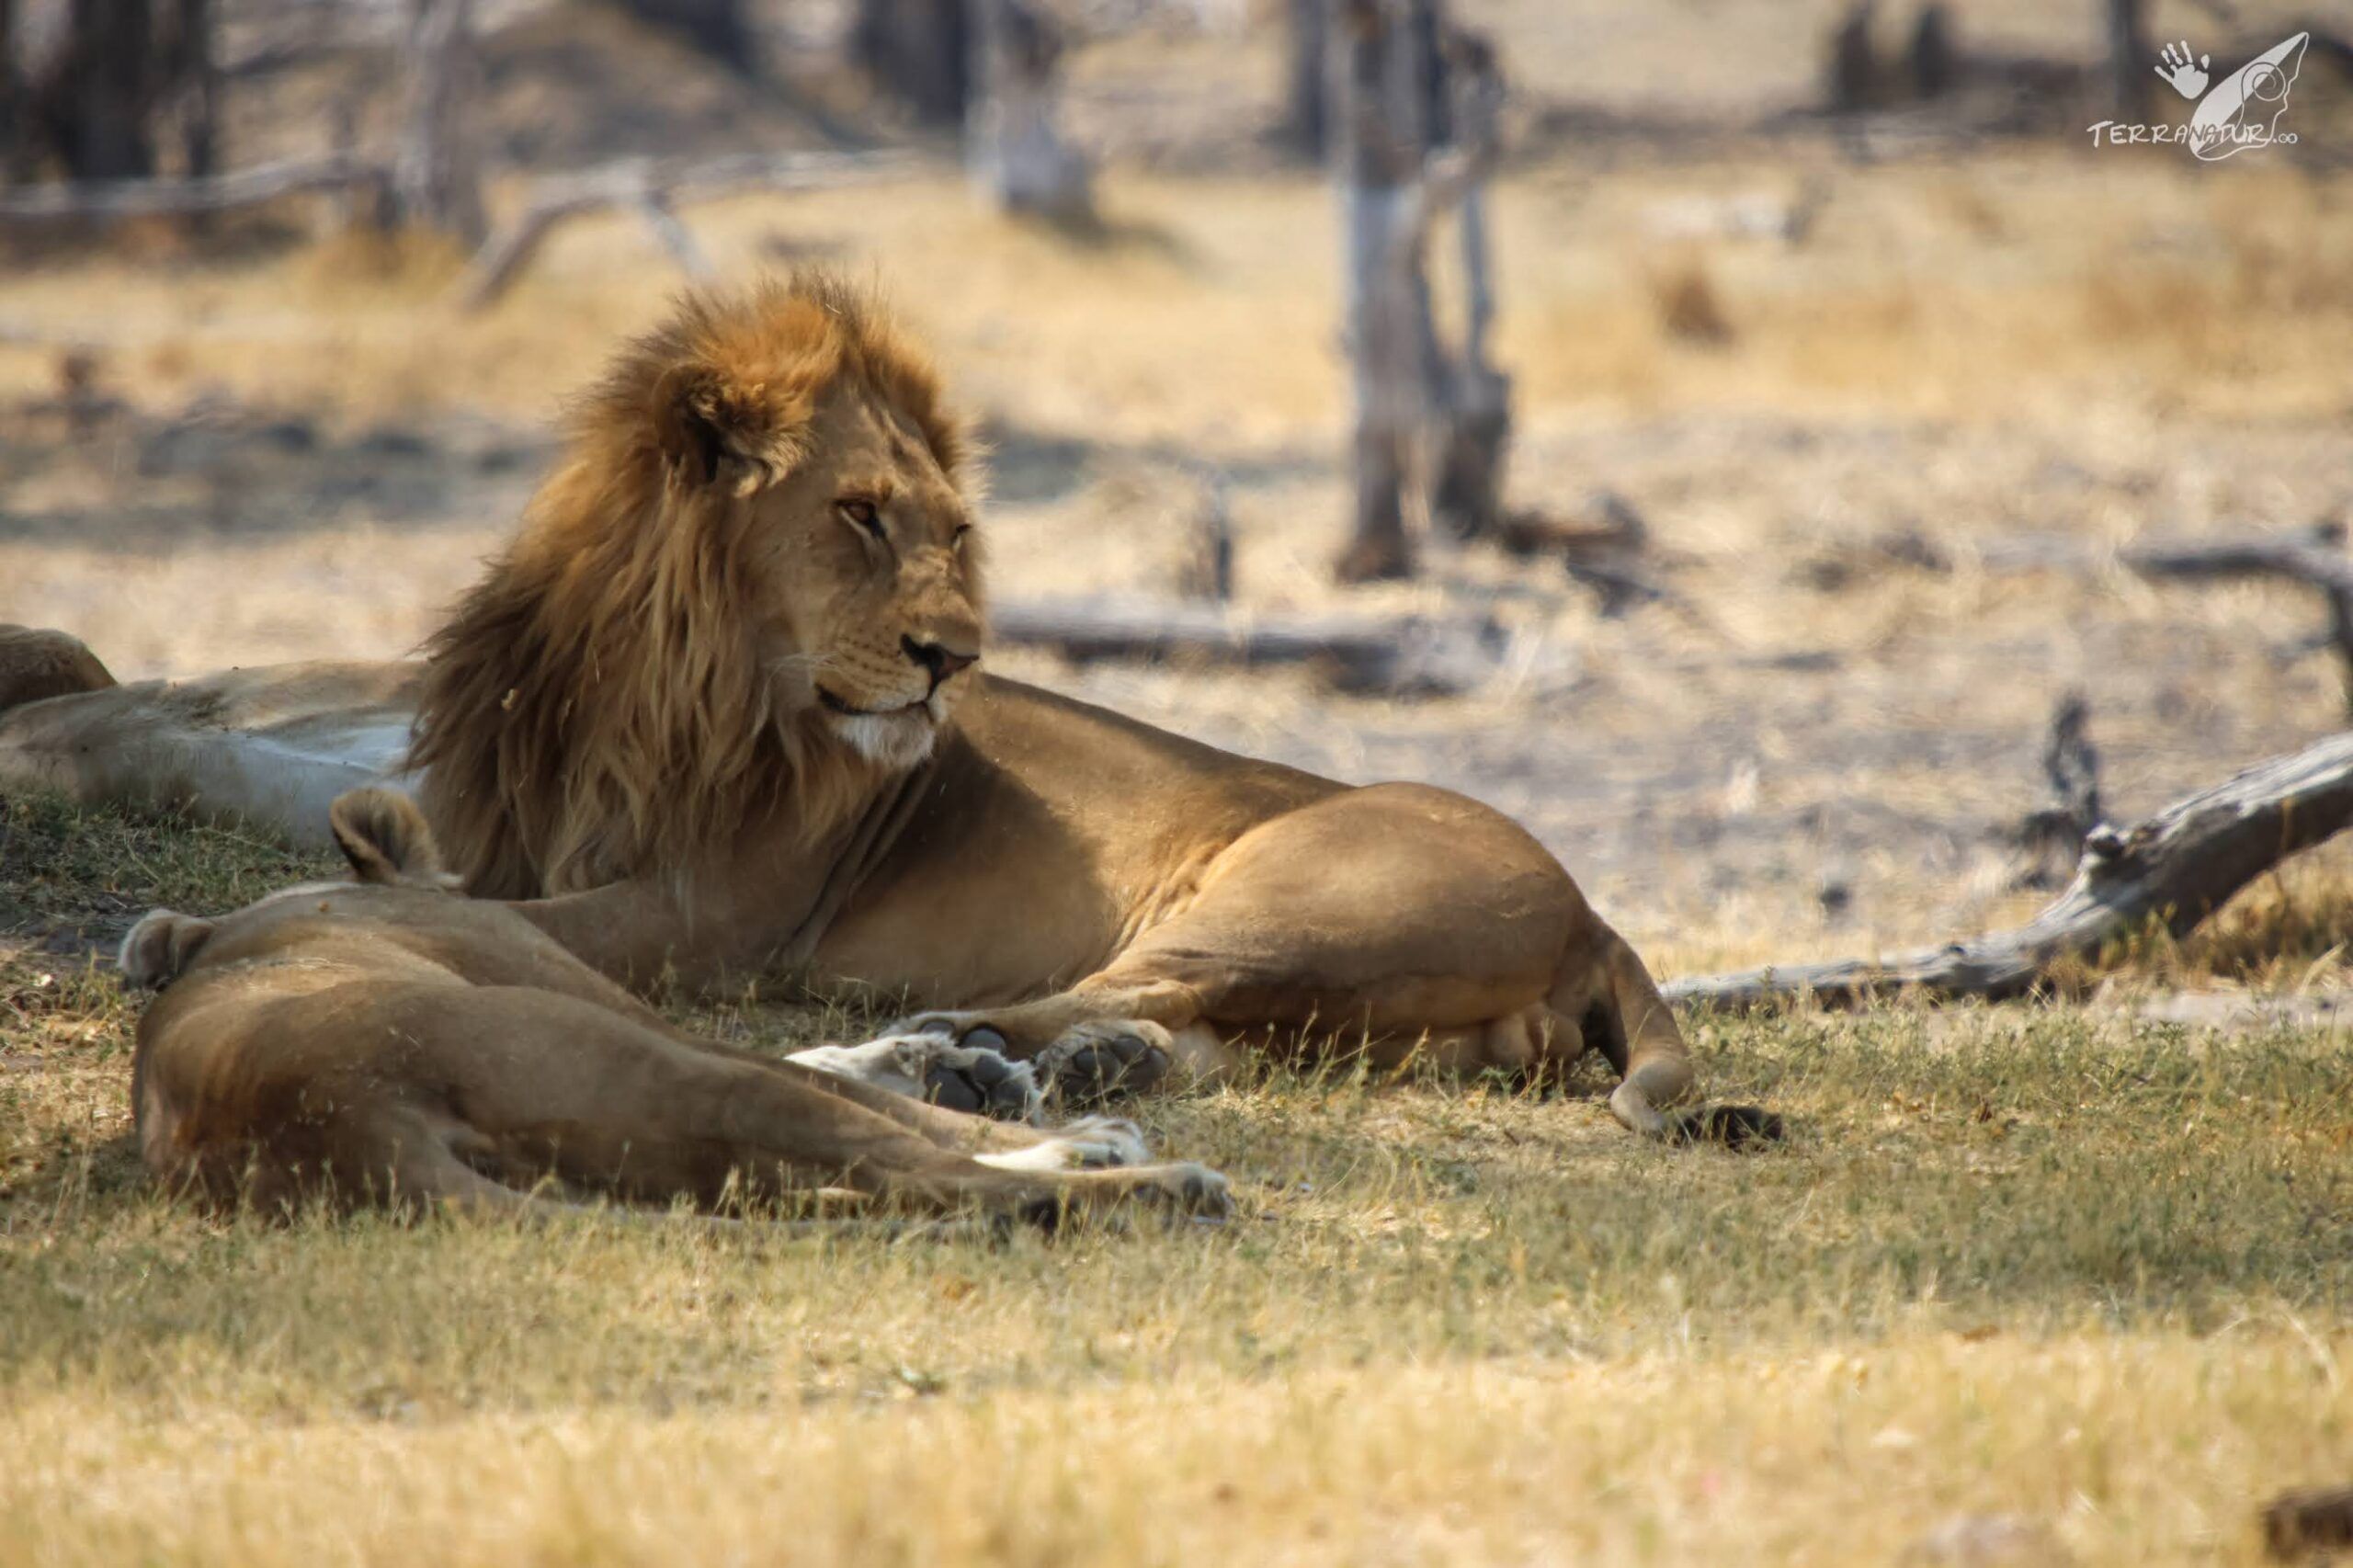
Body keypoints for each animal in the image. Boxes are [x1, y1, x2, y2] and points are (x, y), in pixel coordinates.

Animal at [0, 275, 1759, 1142]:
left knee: (1075, 997)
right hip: (1335, 992)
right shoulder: (507, 825)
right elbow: (394, 861)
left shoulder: (703, 916)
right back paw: (1059, 1078)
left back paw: (943, 1062)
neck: (664, 677)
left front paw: (190, 924)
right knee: (1177, 1034)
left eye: (951, 528)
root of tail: (1593, 906)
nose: (953, 658)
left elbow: (455, 910)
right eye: (858, 515)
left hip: (1293, 899)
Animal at [119, 786, 1230, 1227]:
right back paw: (1154, 1182)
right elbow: (847, 1083)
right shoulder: (581, 987)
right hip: (630, 1059)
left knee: (886, 1181)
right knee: (925, 1172)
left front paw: (963, 1066)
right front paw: (1056, 1118)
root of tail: (334, 1125)